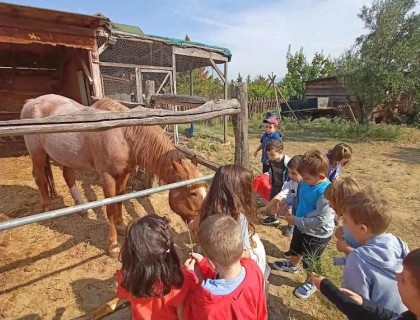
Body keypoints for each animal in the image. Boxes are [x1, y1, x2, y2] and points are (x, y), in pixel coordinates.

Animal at [20, 94, 206, 256]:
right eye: (192, 193)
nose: (201, 226)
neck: (123, 135)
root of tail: (31, 102)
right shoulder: (107, 176)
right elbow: (110, 208)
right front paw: (113, 245)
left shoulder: (124, 174)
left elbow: (120, 199)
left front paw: (121, 226)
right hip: (37, 153)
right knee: (39, 176)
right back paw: (46, 206)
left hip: (66, 156)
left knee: (68, 176)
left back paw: (81, 206)